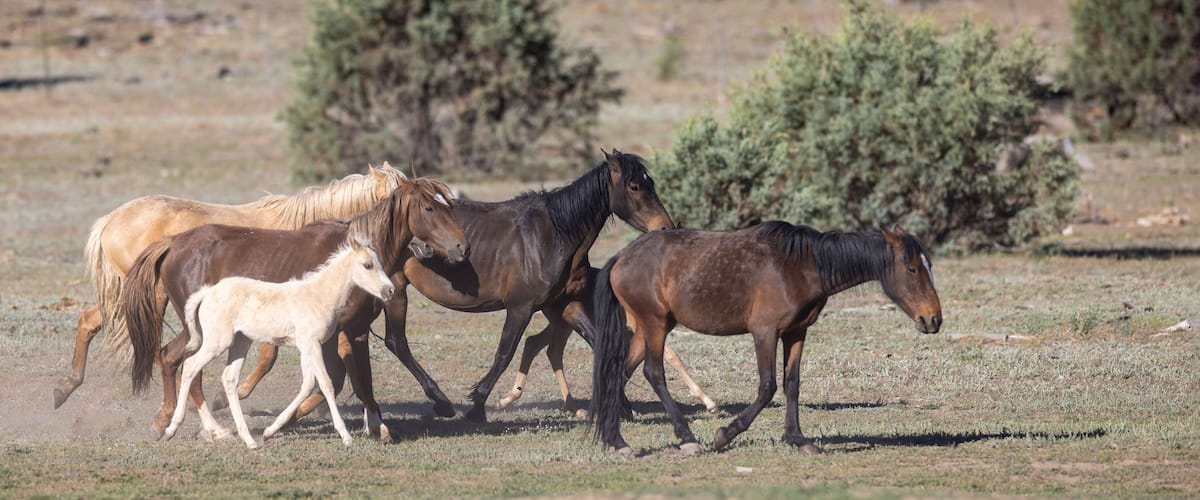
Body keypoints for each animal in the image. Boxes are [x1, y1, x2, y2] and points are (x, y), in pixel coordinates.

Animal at [53, 164, 406, 409]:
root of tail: (110, 220)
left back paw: (65, 388)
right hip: (148, 296)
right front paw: (229, 398)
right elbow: (268, 357)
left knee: (90, 321)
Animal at [165, 238, 396, 448]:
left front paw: (270, 430)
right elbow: (325, 384)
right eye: (367, 265)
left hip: (240, 342)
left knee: (229, 379)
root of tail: (208, 292)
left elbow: (307, 384)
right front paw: (346, 436)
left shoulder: (307, 347)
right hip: (217, 342)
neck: (319, 296)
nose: (390, 291)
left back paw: (249, 440)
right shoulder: (312, 344)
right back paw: (171, 429)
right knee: (190, 366)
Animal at [590, 223, 942, 456]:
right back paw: (687, 439)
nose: (934, 319)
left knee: (618, 375)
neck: (802, 266)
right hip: (656, 326)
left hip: (645, 329)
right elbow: (767, 386)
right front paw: (724, 434)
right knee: (653, 373)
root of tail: (620, 257)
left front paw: (798, 438)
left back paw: (617, 442)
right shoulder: (765, 332)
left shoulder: (796, 332)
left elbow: (792, 384)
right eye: (912, 268)